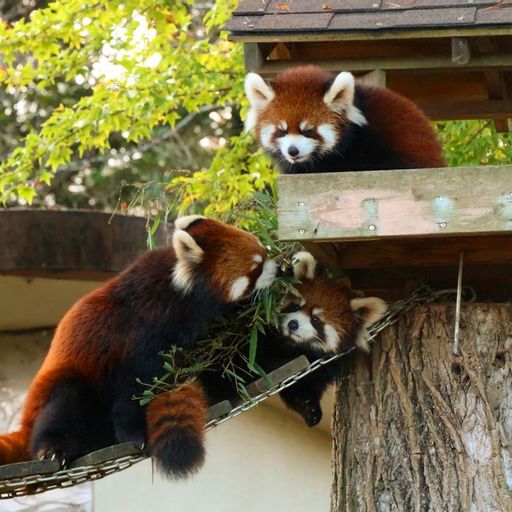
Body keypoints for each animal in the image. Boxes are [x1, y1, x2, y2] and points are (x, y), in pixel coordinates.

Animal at [0, 216, 276, 480]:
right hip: (62, 387)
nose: (280, 268)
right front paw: (136, 433)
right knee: (65, 402)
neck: (180, 289)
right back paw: (53, 448)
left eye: (263, 250)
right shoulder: (143, 330)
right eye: (256, 267)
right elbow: (133, 387)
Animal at [198, 252, 386, 428]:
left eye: (315, 320)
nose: (293, 324)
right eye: (295, 307)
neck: (289, 346)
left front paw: (310, 408)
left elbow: (303, 387)